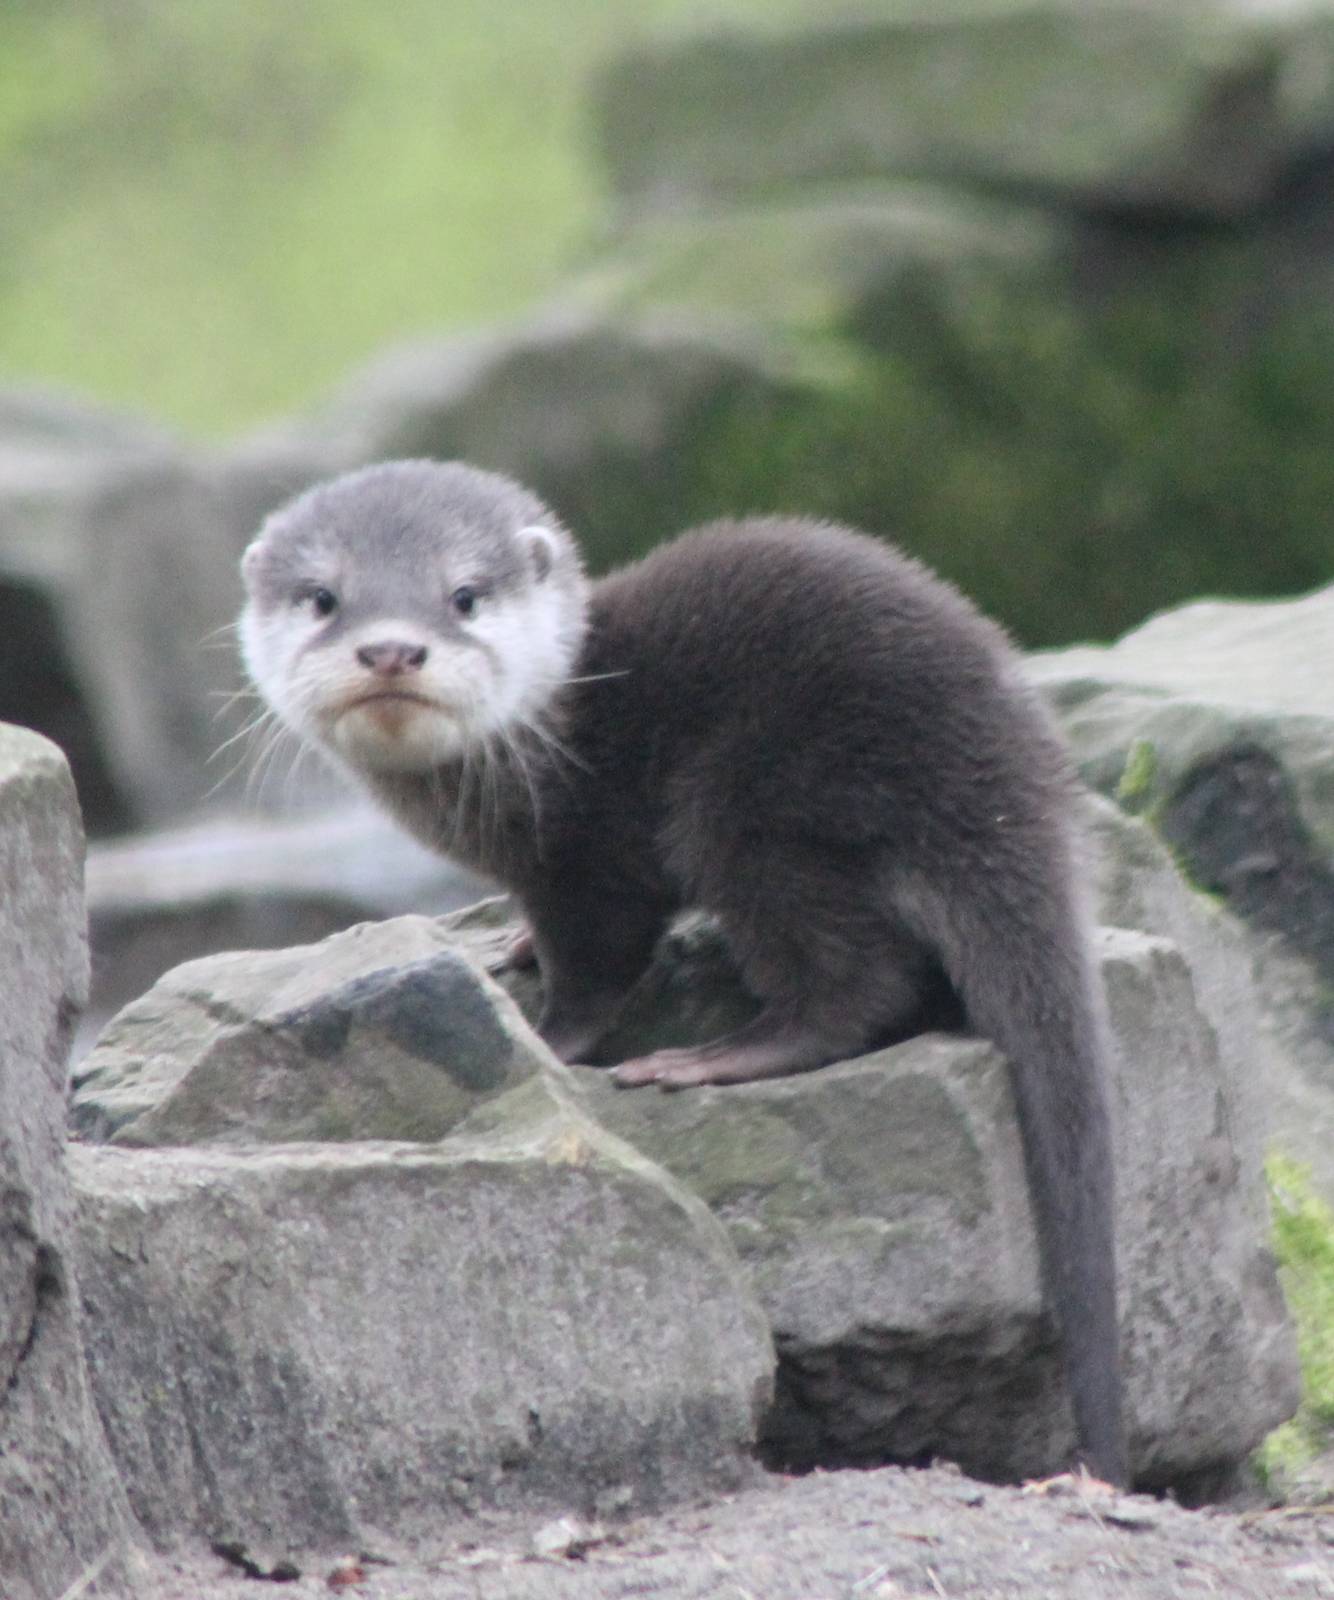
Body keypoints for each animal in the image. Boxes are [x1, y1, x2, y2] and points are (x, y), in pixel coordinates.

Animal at [239, 458, 1126, 1486]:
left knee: (853, 983)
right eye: (323, 597)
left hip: (747, 802)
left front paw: (547, 1035)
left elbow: (602, 963)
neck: (554, 732)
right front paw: (512, 947)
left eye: (463, 595)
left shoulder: (590, 856)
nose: (390, 650)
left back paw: (709, 1059)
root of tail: (1004, 777)